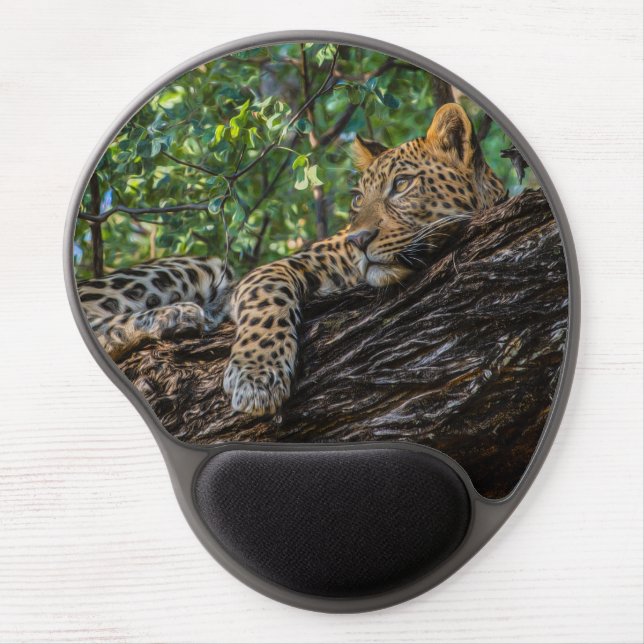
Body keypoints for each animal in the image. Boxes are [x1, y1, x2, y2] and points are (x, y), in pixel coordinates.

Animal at [78, 103, 506, 417]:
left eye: (402, 185)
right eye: (357, 199)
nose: (357, 240)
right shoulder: (271, 270)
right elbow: (268, 303)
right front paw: (256, 379)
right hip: (197, 267)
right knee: (93, 317)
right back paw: (176, 315)